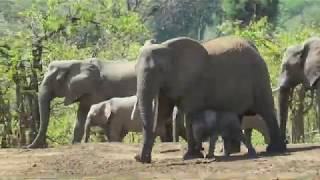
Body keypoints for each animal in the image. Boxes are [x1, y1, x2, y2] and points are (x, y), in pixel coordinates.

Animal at [132, 35, 284, 162]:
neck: (169, 49)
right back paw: (230, 152)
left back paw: (274, 149)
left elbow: (189, 115)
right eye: (135, 69)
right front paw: (142, 158)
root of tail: (254, 48)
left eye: (161, 70)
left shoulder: (195, 83)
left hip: (260, 77)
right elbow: (162, 114)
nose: (140, 158)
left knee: (267, 111)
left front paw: (191, 156)